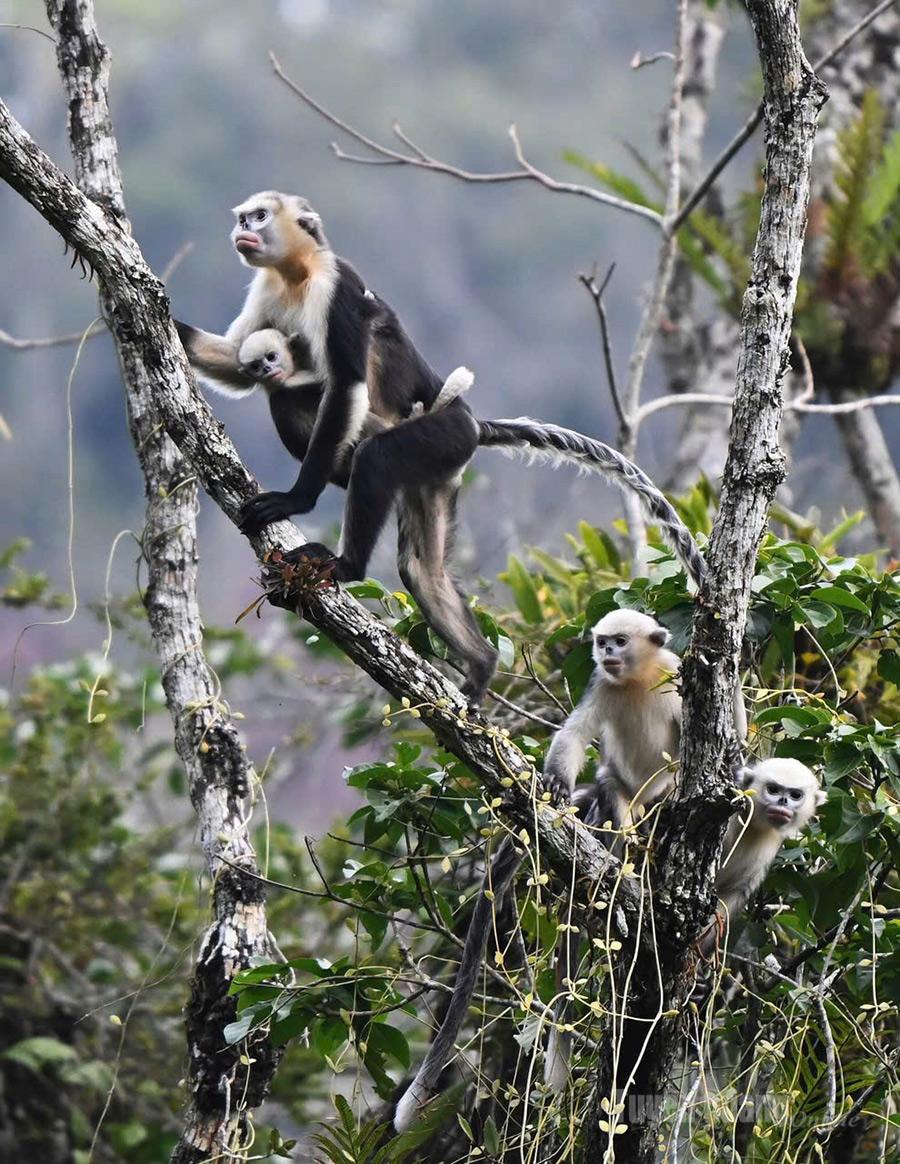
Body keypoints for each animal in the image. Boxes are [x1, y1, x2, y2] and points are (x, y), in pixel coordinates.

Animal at [176, 191, 712, 704]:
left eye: (259, 217)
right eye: (244, 217)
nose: (242, 230)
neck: (297, 275)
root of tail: (471, 422)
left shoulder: (337, 287)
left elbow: (345, 382)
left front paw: (296, 500)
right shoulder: (266, 289)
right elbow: (234, 360)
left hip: (441, 434)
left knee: (362, 447)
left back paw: (347, 562)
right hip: (437, 472)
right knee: (421, 569)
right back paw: (481, 665)